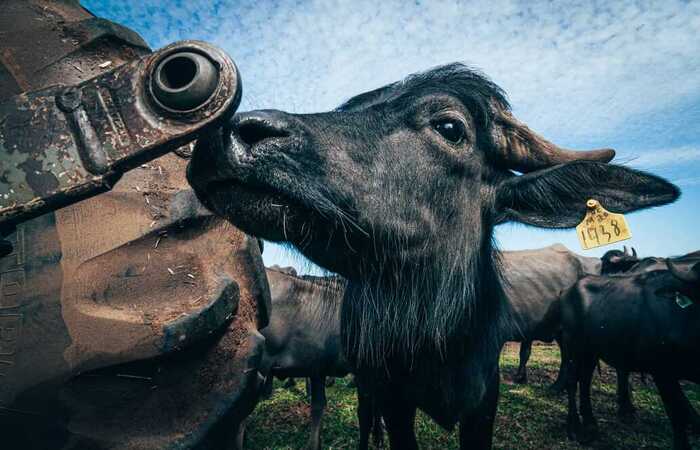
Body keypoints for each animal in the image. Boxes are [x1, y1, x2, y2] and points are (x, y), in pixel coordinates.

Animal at [560, 258, 700, 448]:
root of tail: (567, 291)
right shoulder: (662, 373)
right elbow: (677, 414)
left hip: (591, 351)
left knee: (585, 379)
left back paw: (590, 424)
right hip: (573, 346)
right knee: (572, 380)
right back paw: (574, 427)